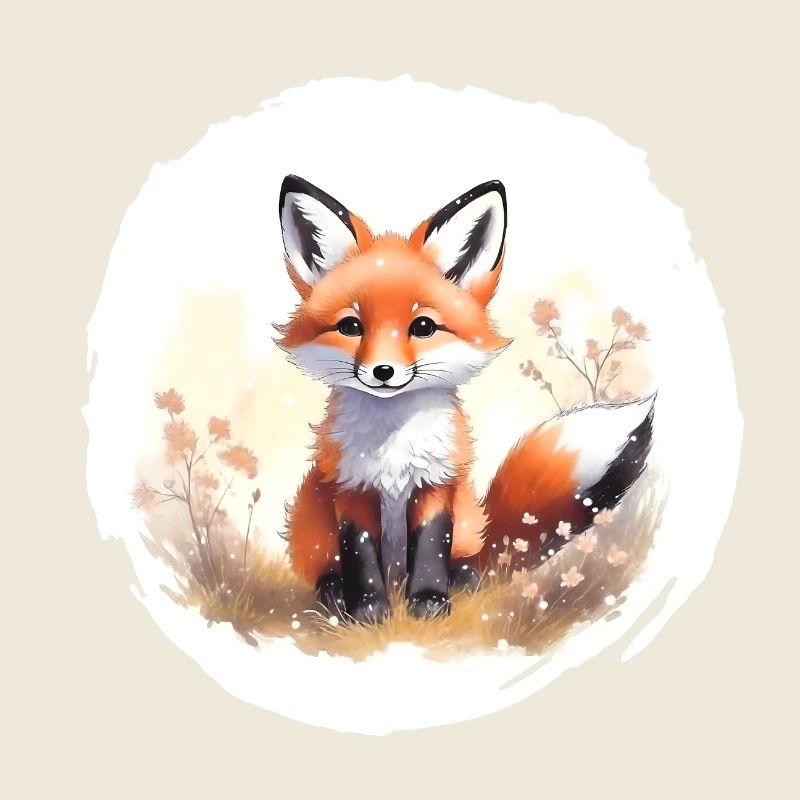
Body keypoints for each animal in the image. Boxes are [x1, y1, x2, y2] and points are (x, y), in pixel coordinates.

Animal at [276, 175, 654, 624]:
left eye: (423, 326)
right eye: (351, 326)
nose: (383, 372)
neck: (393, 445)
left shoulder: (437, 482)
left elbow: (430, 547)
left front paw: (429, 601)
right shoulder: (352, 487)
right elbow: (361, 554)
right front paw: (368, 610)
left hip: (469, 522)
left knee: (470, 561)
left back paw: (461, 580)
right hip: (310, 521)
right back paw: (334, 593)